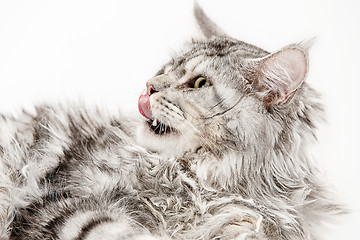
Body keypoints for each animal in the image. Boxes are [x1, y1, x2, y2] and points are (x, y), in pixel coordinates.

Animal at [0, 3, 344, 240]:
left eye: (199, 83)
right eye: (166, 68)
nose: (149, 86)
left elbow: (250, 224)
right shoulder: (59, 197)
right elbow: (115, 231)